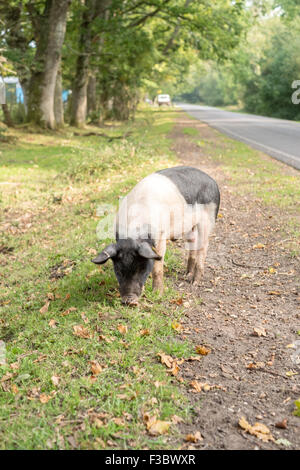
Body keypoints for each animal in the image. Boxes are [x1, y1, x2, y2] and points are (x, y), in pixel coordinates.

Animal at [92, 167, 220, 306]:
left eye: (142, 269)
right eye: (118, 271)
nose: (129, 301)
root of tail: (212, 180)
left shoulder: (161, 235)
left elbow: (158, 266)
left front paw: (157, 294)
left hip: (208, 219)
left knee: (203, 247)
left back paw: (194, 282)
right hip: (188, 226)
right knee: (193, 243)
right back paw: (187, 274)